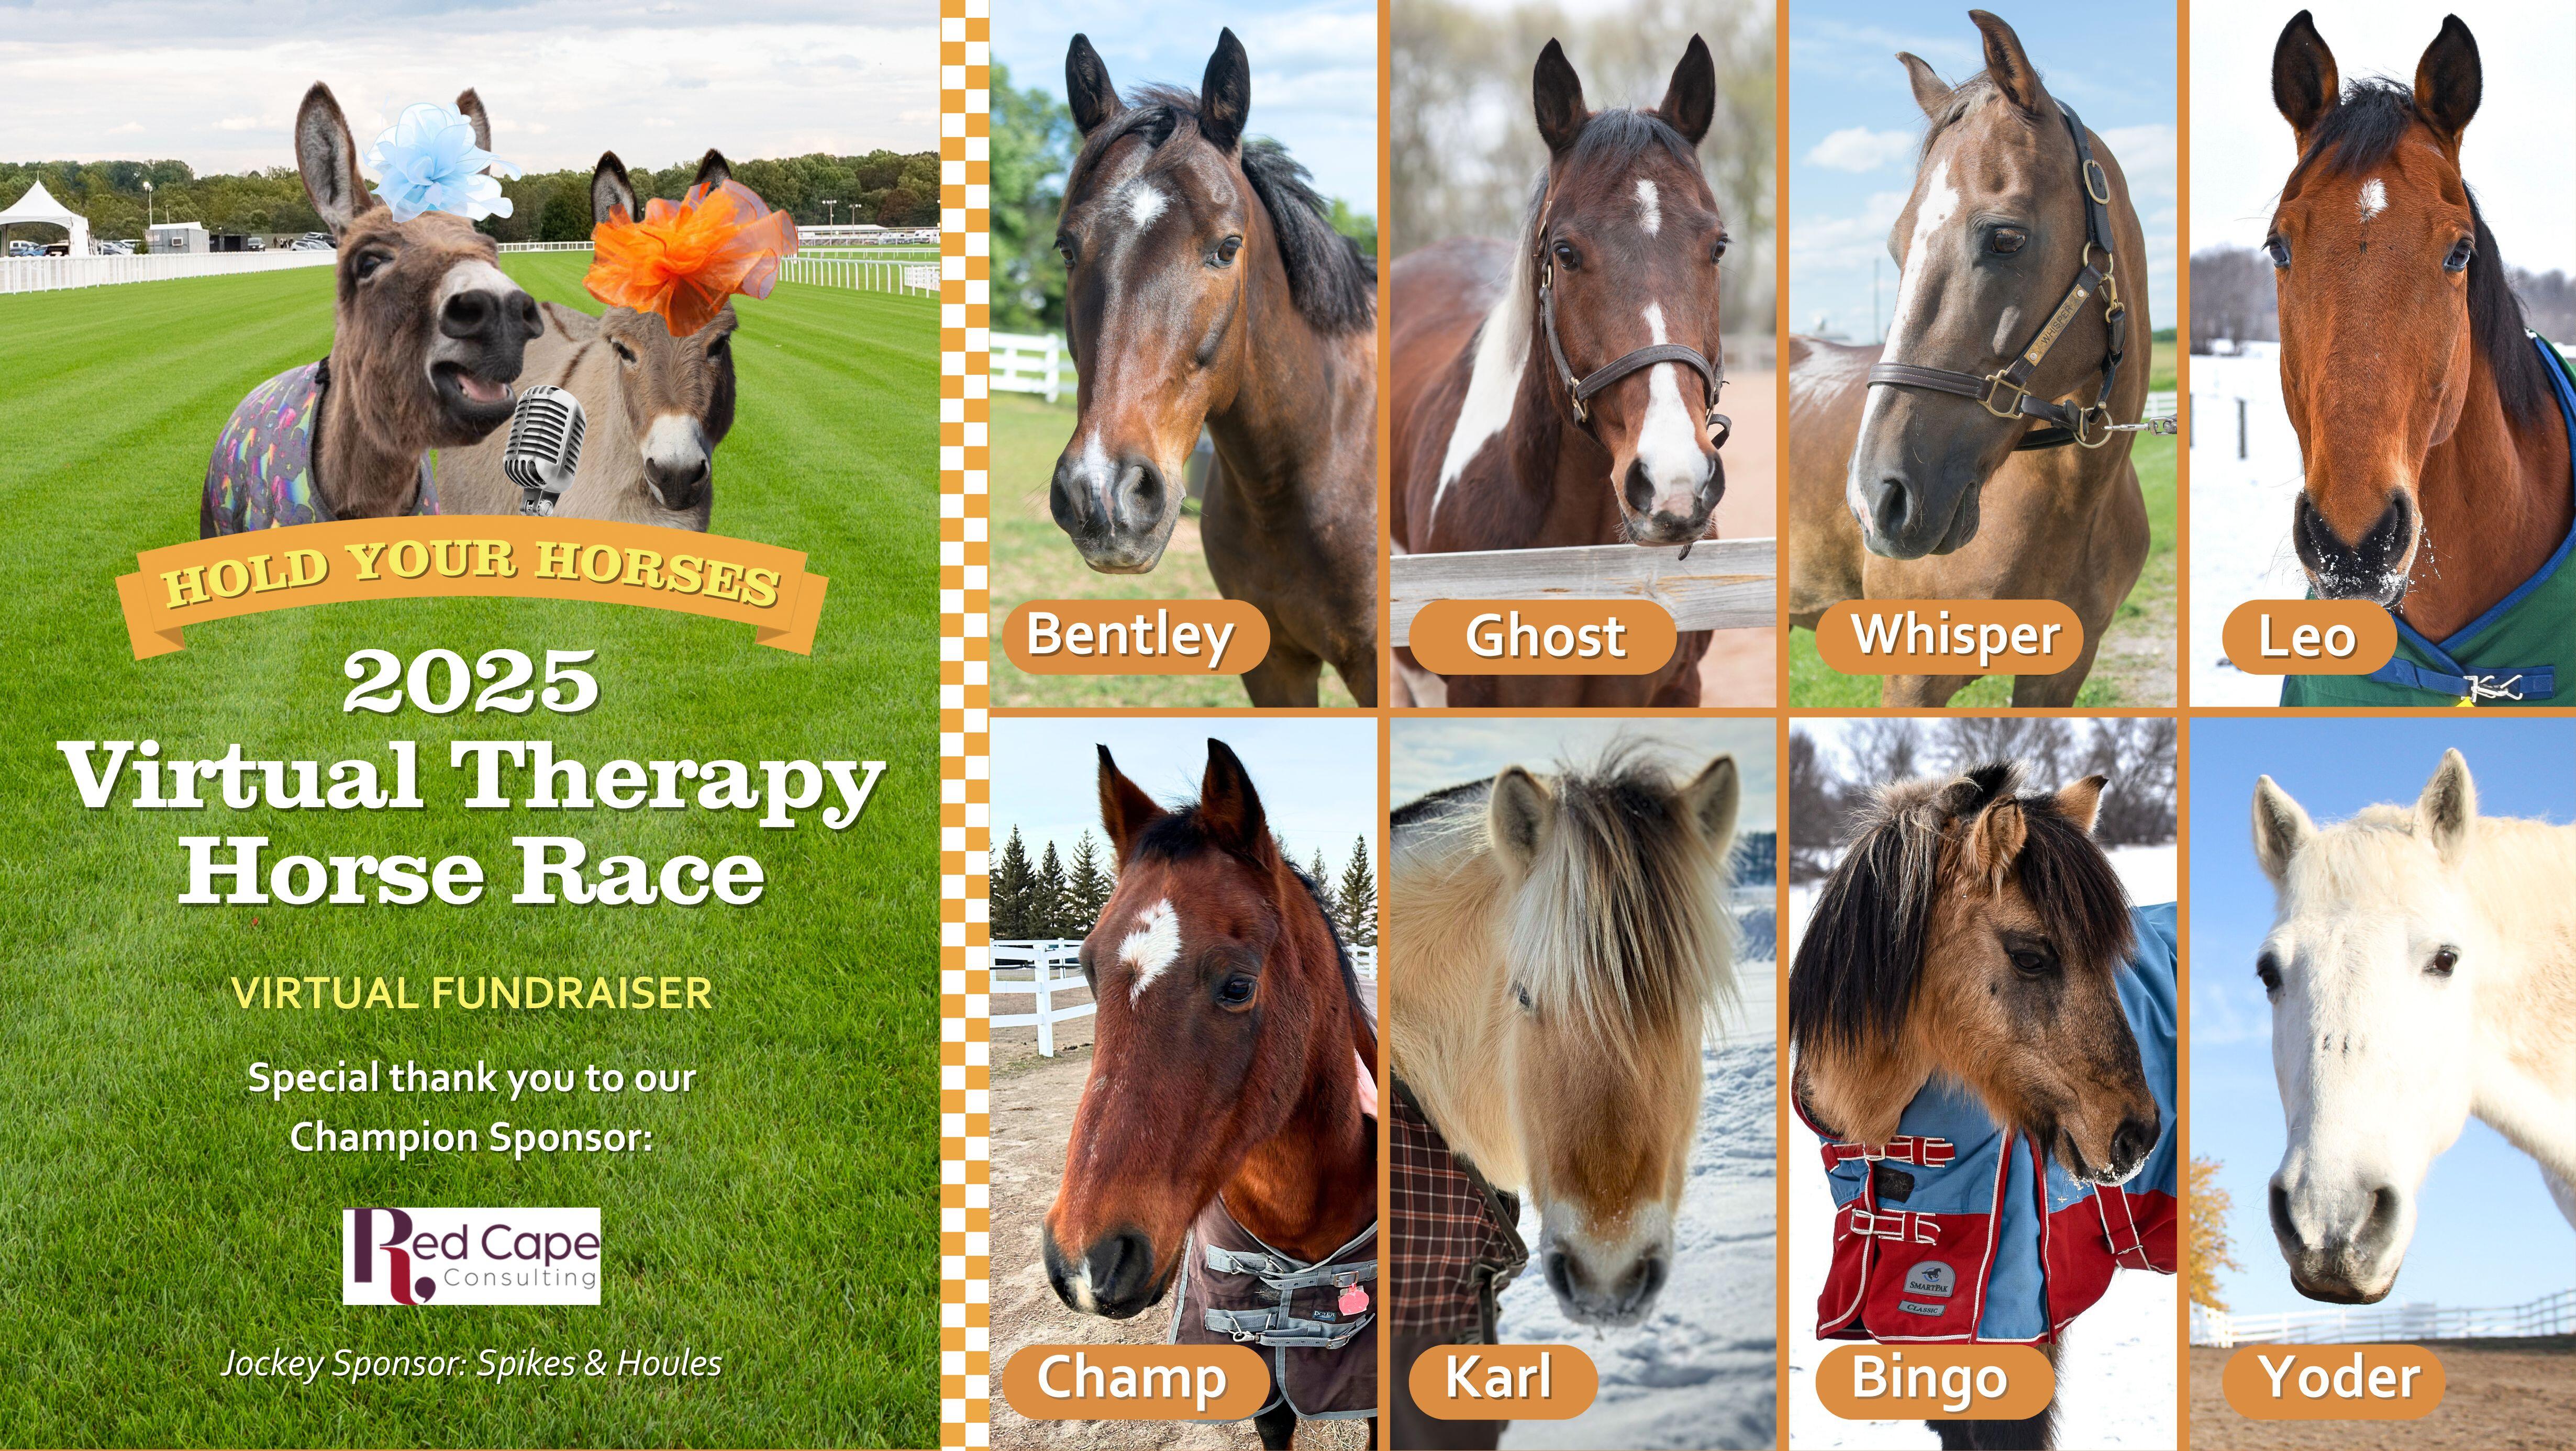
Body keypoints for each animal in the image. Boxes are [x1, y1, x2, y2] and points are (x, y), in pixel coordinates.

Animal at [1785, 10, 2153, 706]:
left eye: (2006, 237)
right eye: (1897, 246)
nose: (1876, 500)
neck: (2072, 503)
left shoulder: (2063, 672)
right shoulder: (1911, 682)